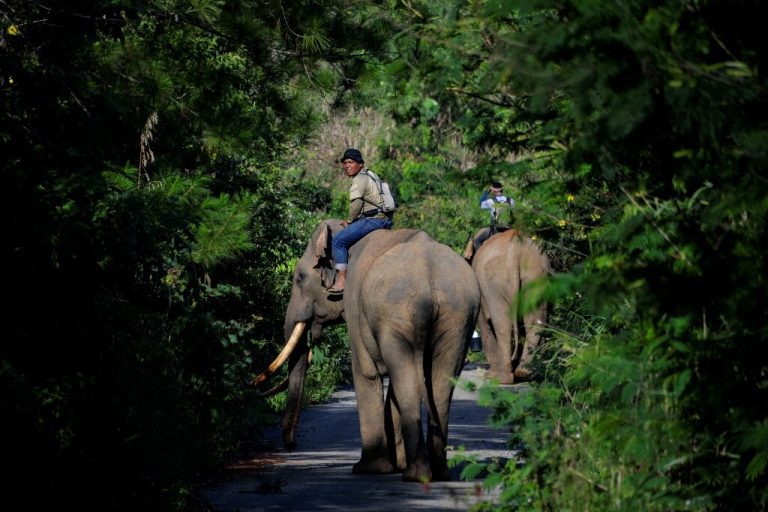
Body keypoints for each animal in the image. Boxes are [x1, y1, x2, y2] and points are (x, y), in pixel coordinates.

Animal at [252, 221, 480, 484]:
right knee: (440, 384)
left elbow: (366, 371)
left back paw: (416, 475)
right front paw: (396, 464)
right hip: (459, 316)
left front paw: (369, 468)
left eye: (299, 278)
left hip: (397, 314)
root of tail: (428, 275)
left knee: (410, 382)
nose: (292, 446)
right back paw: (438, 472)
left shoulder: (353, 303)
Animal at [464, 228, 548, 384]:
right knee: (535, 321)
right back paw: (524, 373)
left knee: (502, 324)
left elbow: (484, 324)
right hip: (536, 276)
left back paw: (501, 378)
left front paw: (490, 374)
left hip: (494, 283)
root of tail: (515, 254)